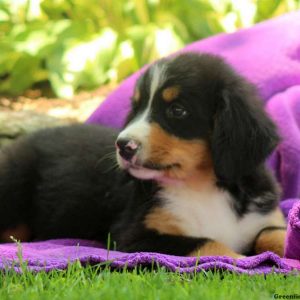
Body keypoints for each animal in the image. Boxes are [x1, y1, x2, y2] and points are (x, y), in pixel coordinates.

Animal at [0, 52, 286, 258]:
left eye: (177, 110)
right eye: (137, 108)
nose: (123, 145)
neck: (202, 186)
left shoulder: (263, 217)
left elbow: (274, 235)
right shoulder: (136, 234)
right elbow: (208, 243)